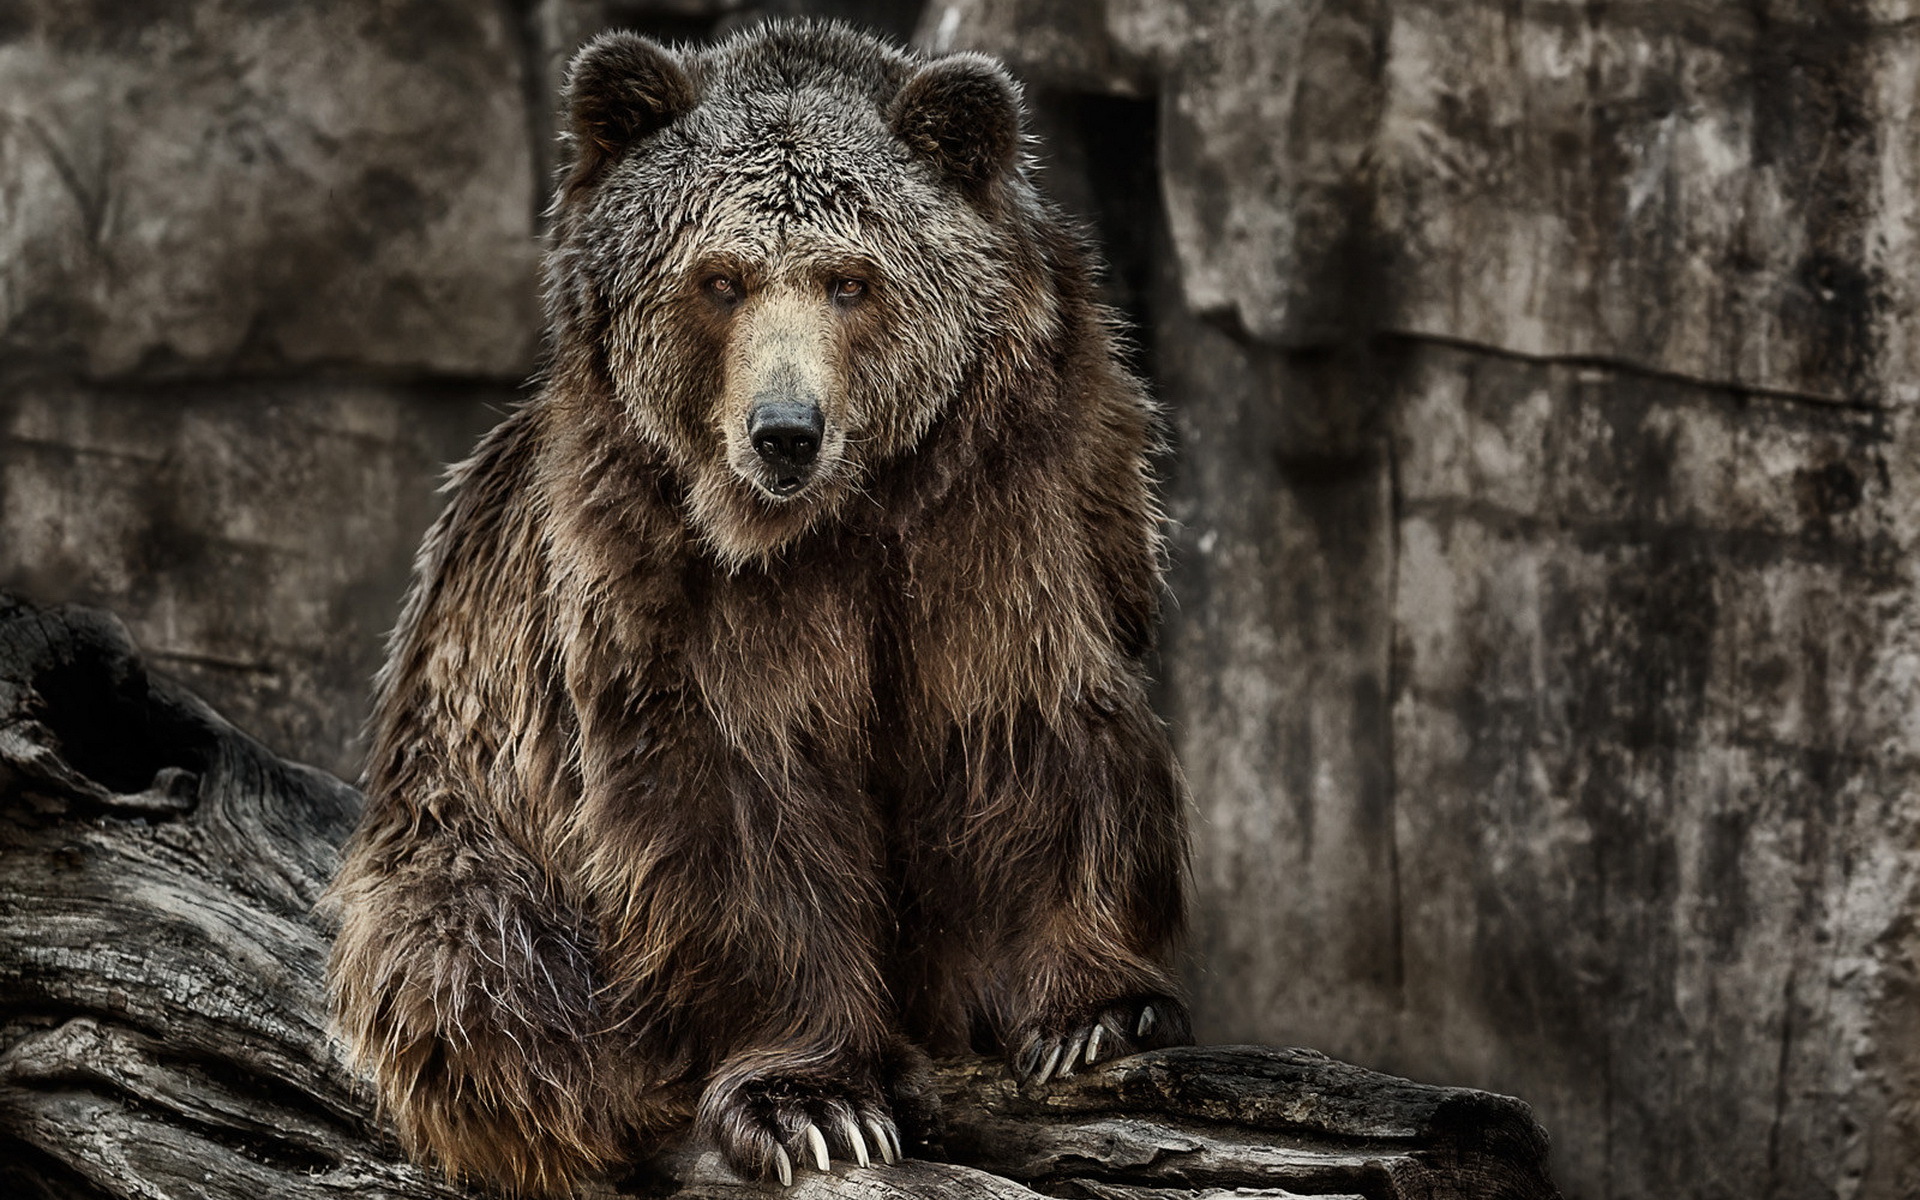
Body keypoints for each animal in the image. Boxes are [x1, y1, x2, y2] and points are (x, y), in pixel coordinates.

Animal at [324, 18, 1190, 1198]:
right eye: (721, 278)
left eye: (850, 279)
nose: (785, 431)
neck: (839, 521)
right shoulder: (672, 577)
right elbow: (745, 803)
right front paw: (813, 1107)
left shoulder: (1008, 504)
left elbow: (1023, 721)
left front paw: (1094, 1014)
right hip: (460, 819)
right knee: (477, 977)